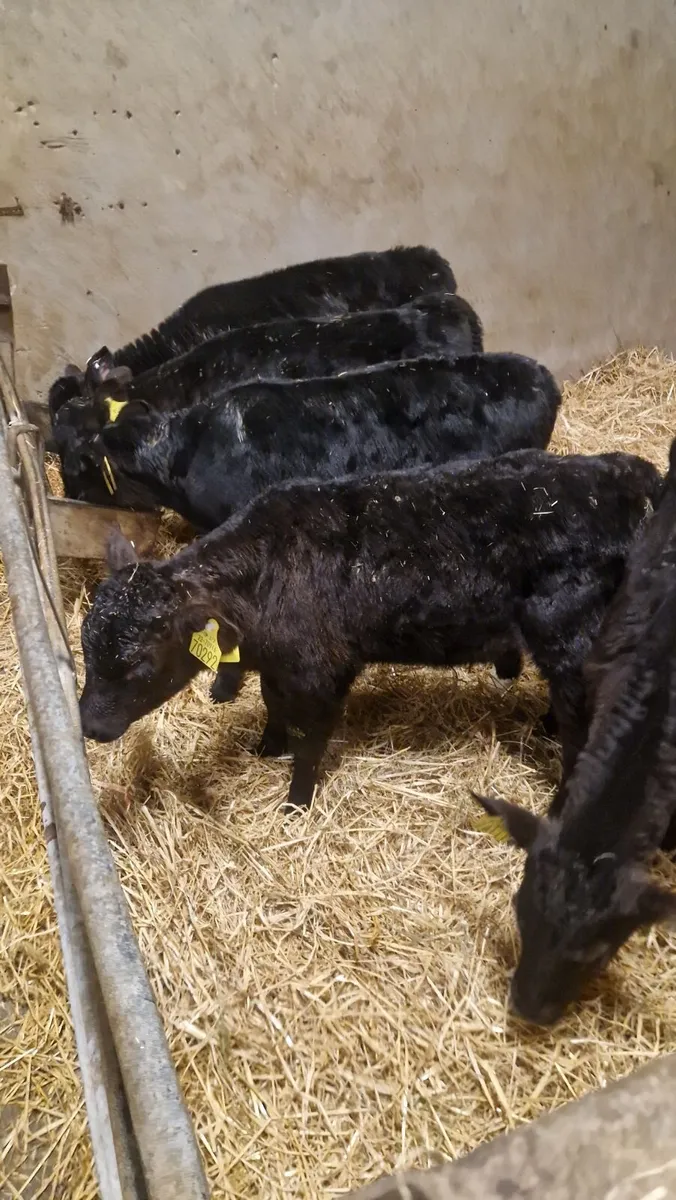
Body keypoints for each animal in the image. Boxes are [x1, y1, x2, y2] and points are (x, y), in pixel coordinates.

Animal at [79, 449, 660, 817]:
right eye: (86, 649)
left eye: (139, 664)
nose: (88, 725)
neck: (266, 574)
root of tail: (633, 480)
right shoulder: (278, 660)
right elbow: (271, 701)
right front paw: (267, 746)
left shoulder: (323, 671)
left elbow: (311, 741)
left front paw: (296, 804)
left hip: (574, 638)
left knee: (586, 724)